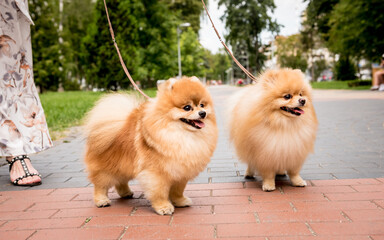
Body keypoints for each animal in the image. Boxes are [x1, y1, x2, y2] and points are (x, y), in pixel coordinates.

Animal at [83, 77, 218, 216]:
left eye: (202, 105)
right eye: (187, 107)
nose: (202, 113)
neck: (182, 135)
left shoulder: (180, 172)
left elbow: (178, 190)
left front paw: (180, 201)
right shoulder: (157, 174)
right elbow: (160, 192)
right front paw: (164, 207)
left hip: (124, 164)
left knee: (121, 180)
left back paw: (126, 193)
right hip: (107, 168)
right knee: (100, 184)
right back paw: (101, 200)